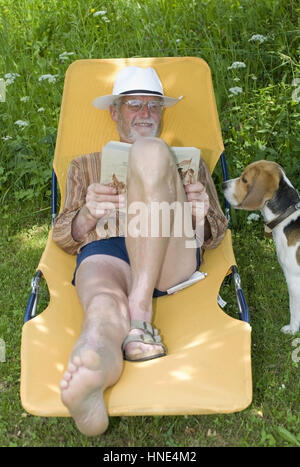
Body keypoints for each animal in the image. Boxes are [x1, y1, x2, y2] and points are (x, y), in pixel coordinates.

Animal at [223, 162, 300, 336]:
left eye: (244, 180)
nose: (223, 185)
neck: (286, 217)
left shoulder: (293, 279)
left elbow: (294, 309)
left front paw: (292, 330)